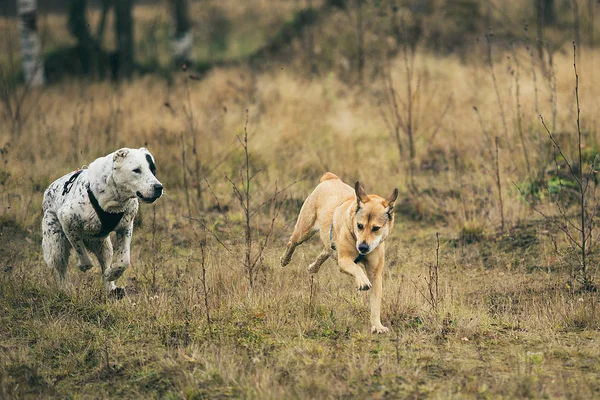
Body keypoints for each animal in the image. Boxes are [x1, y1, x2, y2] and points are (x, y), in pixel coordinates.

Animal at [41, 148, 163, 296]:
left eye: (153, 169)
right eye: (136, 170)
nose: (158, 187)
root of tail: (48, 190)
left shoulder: (126, 226)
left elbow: (124, 261)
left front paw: (112, 274)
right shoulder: (67, 219)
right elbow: (81, 250)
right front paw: (83, 264)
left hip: (103, 246)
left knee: (105, 262)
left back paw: (112, 289)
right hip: (56, 244)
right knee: (61, 270)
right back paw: (65, 290)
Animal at [282, 173, 398, 332]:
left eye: (376, 228)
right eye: (359, 226)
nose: (362, 247)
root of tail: (330, 178)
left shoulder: (375, 273)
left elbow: (375, 302)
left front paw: (377, 326)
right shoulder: (344, 260)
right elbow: (356, 268)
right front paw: (362, 281)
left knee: (326, 250)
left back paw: (313, 267)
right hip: (303, 230)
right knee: (292, 243)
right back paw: (285, 259)